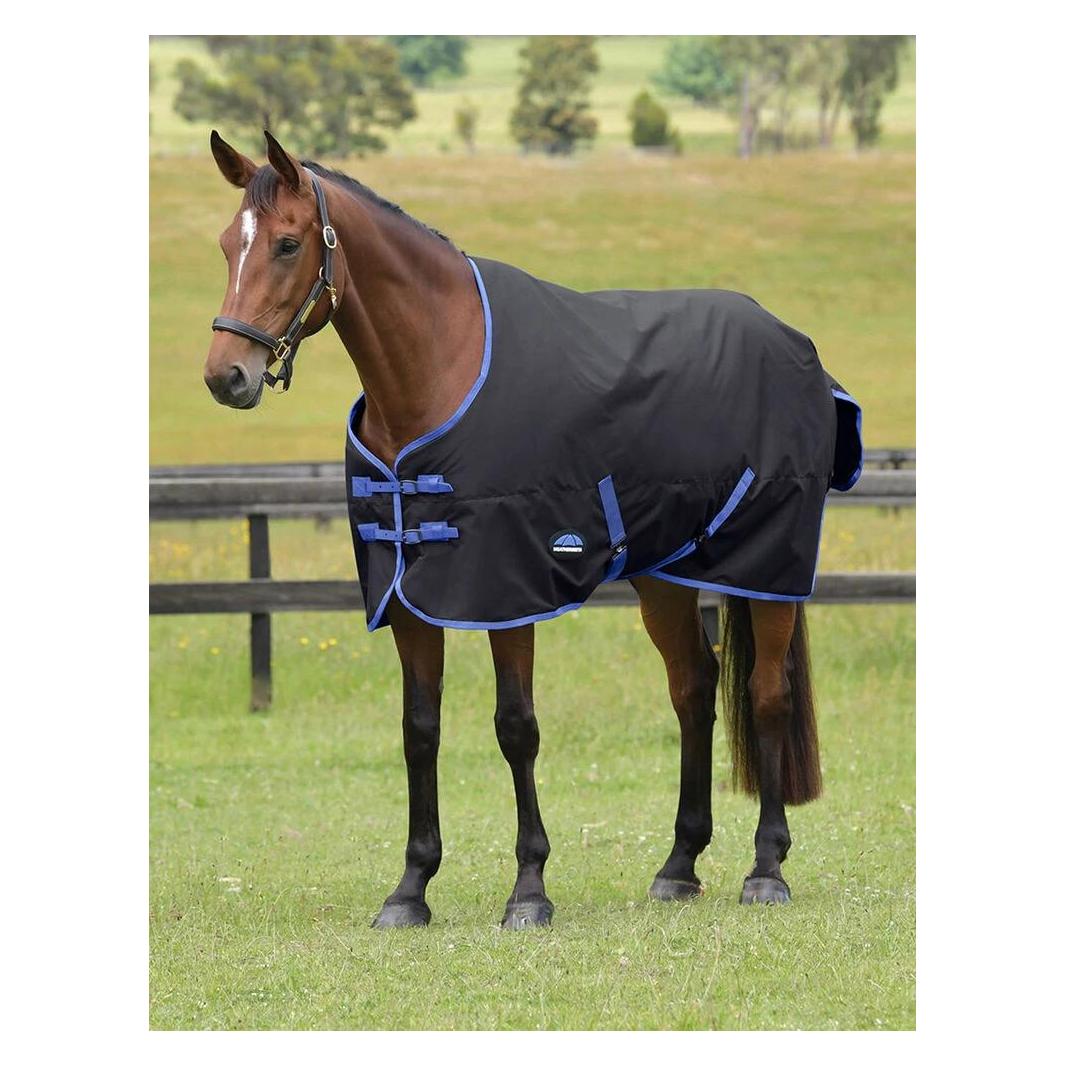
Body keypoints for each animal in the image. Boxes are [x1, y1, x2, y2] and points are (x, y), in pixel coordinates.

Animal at [202, 131, 861, 929]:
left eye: (289, 243)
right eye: (225, 246)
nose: (226, 376)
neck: (439, 371)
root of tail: (795, 343)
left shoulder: (505, 590)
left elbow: (515, 727)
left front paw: (529, 890)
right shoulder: (408, 597)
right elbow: (419, 729)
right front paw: (410, 889)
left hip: (765, 569)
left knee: (766, 693)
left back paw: (766, 868)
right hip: (664, 575)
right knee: (694, 689)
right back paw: (678, 864)